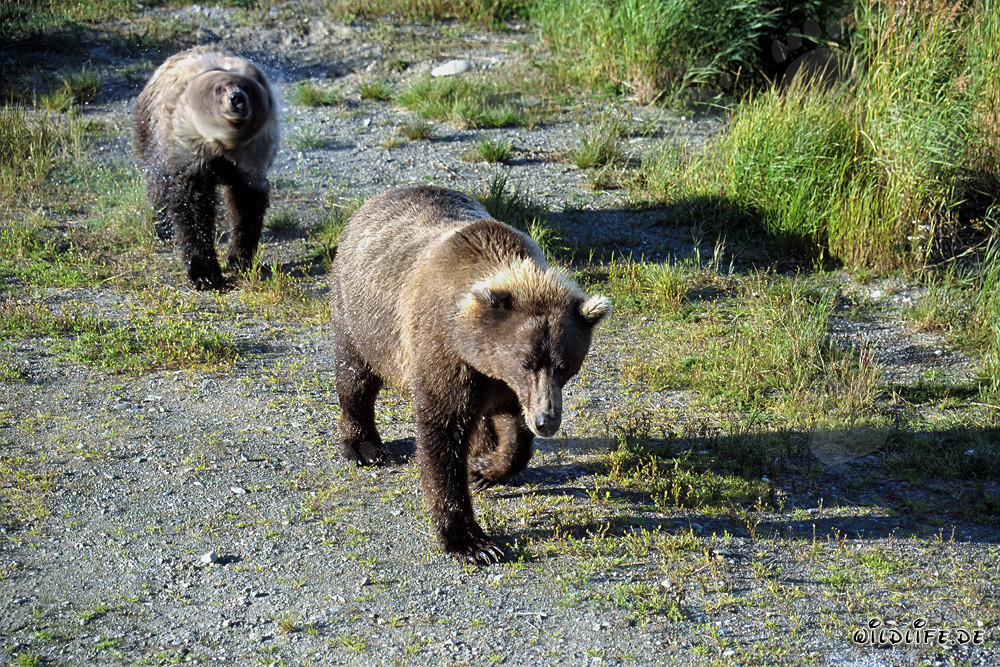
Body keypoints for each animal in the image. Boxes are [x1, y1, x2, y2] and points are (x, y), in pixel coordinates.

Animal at [133, 45, 279, 289]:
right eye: (219, 88)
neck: (223, 146)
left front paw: (239, 258)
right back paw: (161, 226)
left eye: (247, 87)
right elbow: (192, 208)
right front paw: (205, 273)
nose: (236, 98)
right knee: (157, 182)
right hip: (151, 133)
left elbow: (246, 205)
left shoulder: (250, 160)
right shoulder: (189, 154)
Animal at [329, 186, 611, 565]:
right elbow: (442, 432)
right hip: (361, 314)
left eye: (565, 365)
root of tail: (376, 199)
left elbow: (511, 428)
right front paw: (472, 543)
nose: (547, 421)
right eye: (527, 361)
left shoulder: (503, 382)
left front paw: (484, 469)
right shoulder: (446, 353)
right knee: (355, 375)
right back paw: (363, 446)